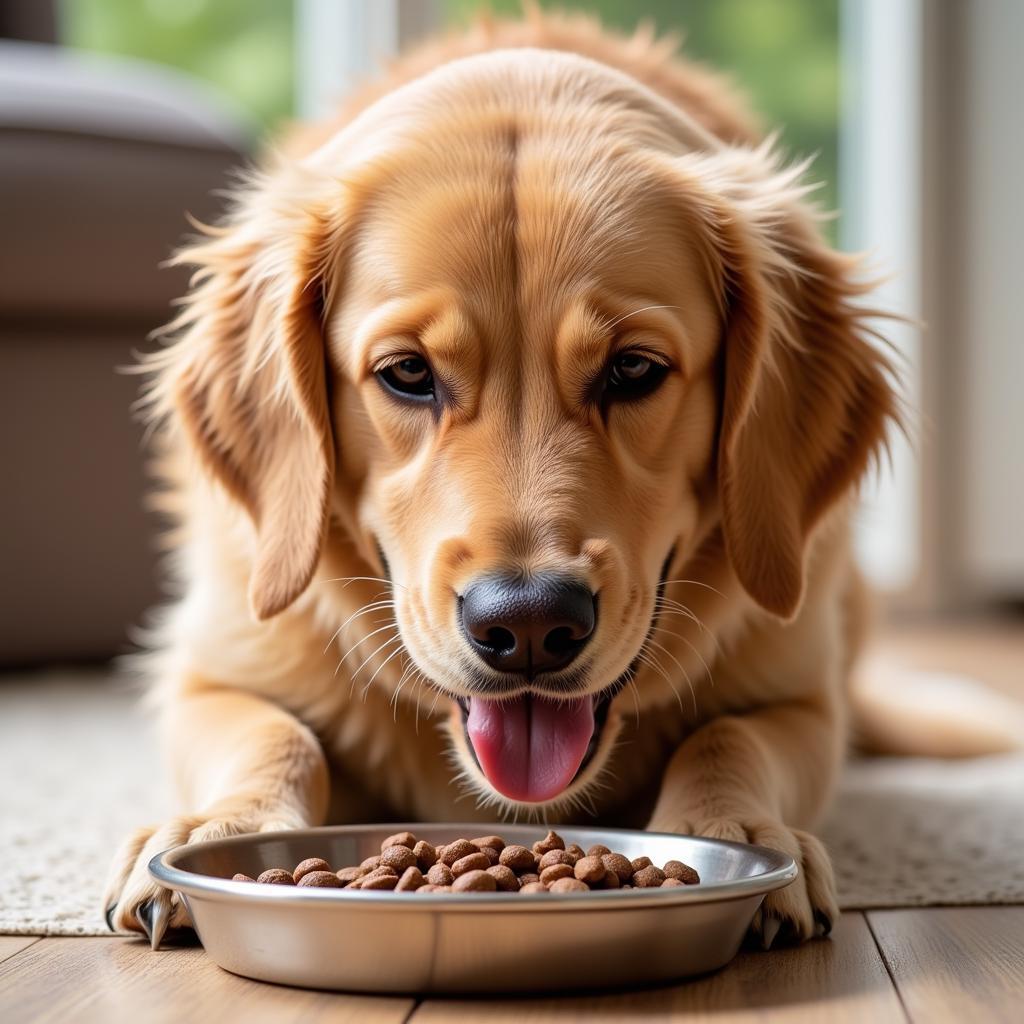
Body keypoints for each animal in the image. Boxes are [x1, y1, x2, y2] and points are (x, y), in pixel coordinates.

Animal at [105, 12, 905, 946]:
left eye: (634, 369)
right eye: (408, 373)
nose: (526, 625)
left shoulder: (804, 697)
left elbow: (726, 740)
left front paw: (739, 833)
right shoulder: (214, 669)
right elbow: (275, 735)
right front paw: (218, 826)